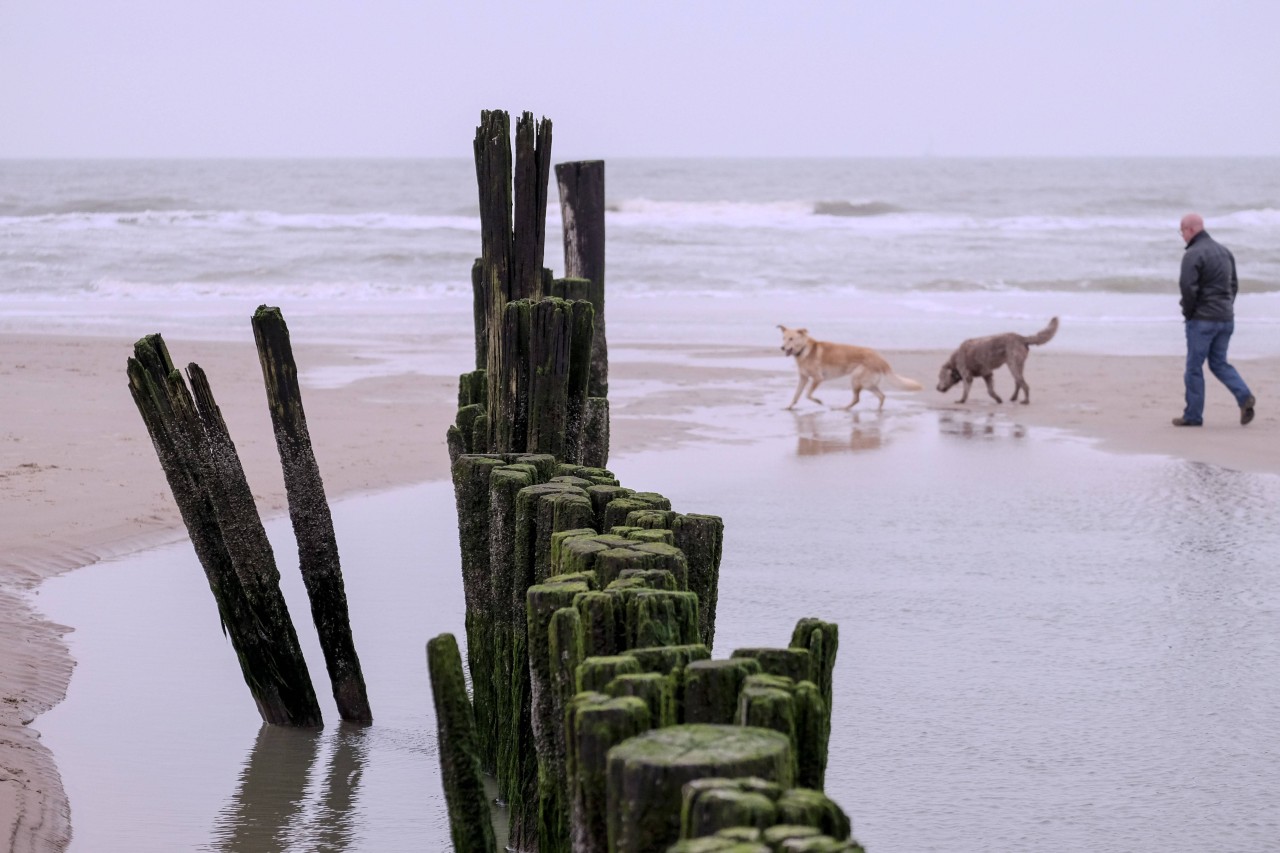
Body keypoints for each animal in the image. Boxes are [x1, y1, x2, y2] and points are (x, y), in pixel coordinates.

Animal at [778, 322, 921, 409]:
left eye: (791, 339)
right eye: (783, 338)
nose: (782, 347)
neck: (804, 350)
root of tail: (879, 357)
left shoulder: (818, 378)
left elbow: (807, 394)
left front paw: (818, 401)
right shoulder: (803, 378)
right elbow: (796, 394)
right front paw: (789, 407)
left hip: (856, 379)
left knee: (857, 399)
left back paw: (843, 408)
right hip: (868, 384)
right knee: (881, 396)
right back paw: (877, 411)